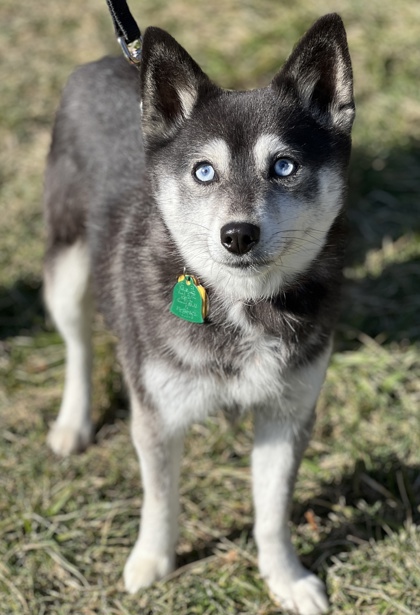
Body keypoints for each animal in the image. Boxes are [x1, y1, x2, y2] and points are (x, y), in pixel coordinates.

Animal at [44, 14, 354, 615]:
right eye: (204, 172)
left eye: (284, 166)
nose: (237, 235)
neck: (241, 304)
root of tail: (106, 60)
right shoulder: (158, 414)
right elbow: (160, 500)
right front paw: (152, 562)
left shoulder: (288, 413)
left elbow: (272, 514)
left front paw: (285, 578)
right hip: (66, 267)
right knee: (78, 345)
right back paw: (73, 422)